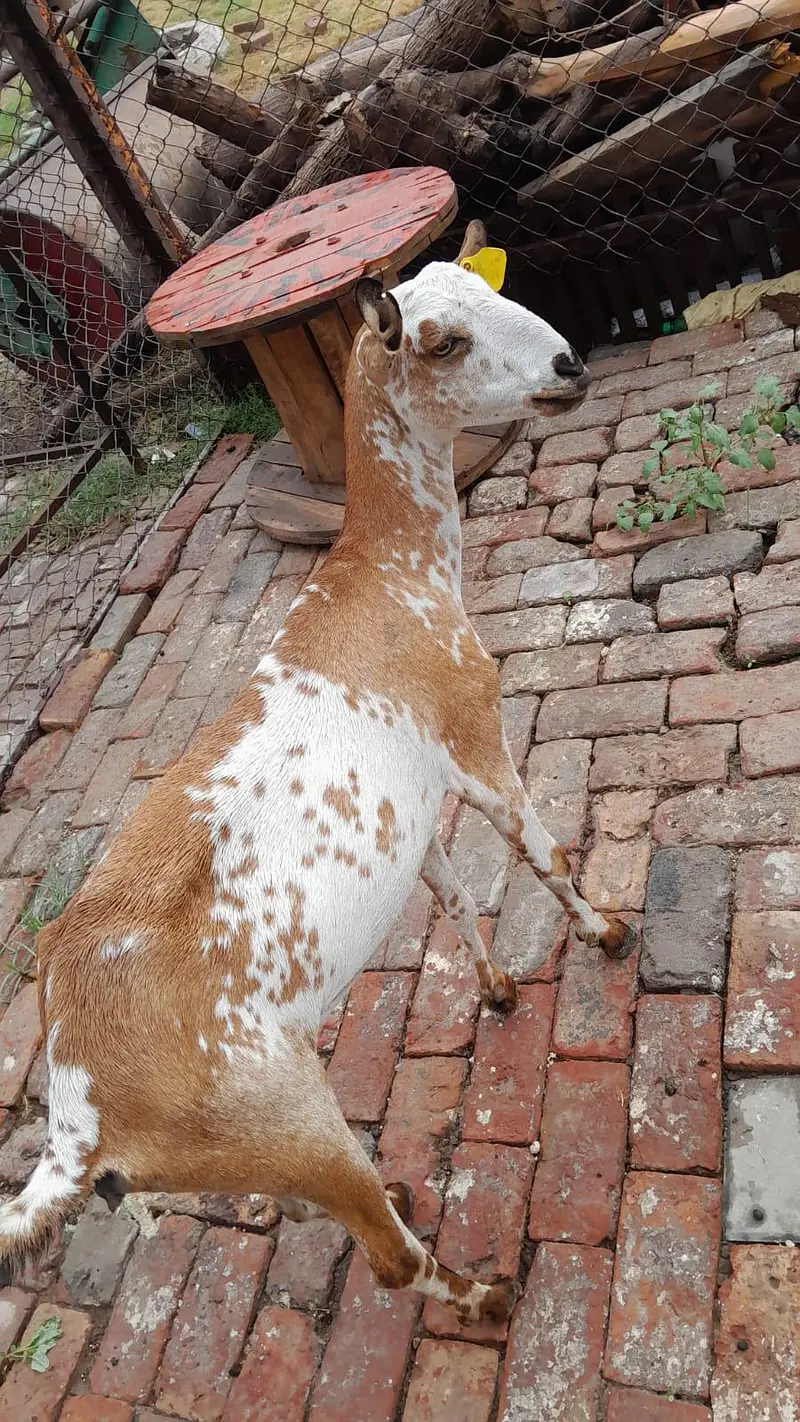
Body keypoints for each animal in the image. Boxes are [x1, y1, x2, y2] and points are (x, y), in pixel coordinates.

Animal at [0, 222, 632, 1323]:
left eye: (489, 285)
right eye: (441, 339)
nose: (565, 367)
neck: (384, 576)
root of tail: (77, 1125)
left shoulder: (415, 808)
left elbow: (455, 895)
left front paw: (502, 992)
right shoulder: (474, 732)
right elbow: (541, 853)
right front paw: (607, 936)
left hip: (254, 1150)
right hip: (287, 1116)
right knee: (385, 1259)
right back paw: (485, 1293)